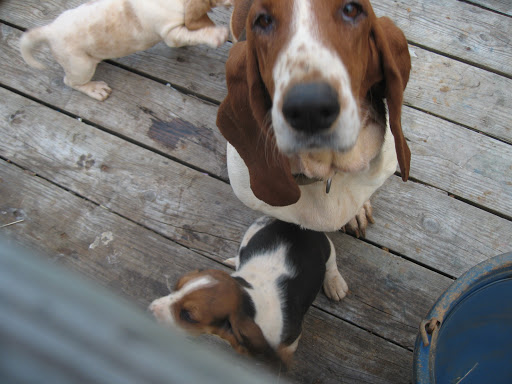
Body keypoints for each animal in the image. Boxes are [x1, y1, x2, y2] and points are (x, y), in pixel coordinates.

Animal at [20, 0, 232, 100]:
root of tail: (49, 30)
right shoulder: (172, 33)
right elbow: (193, 34)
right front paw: (216, 34)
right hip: (80, 66)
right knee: (70, 82)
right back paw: (95, 89)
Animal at [148, 218, 348, 364]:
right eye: (176, 287)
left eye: (188, 316)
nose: (151, 309)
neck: (249, 299)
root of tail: (294, 223)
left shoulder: (291, 337)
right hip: (253, 230)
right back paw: (234, 260)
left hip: (326, 248)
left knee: (331, 263)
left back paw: (335, 283)